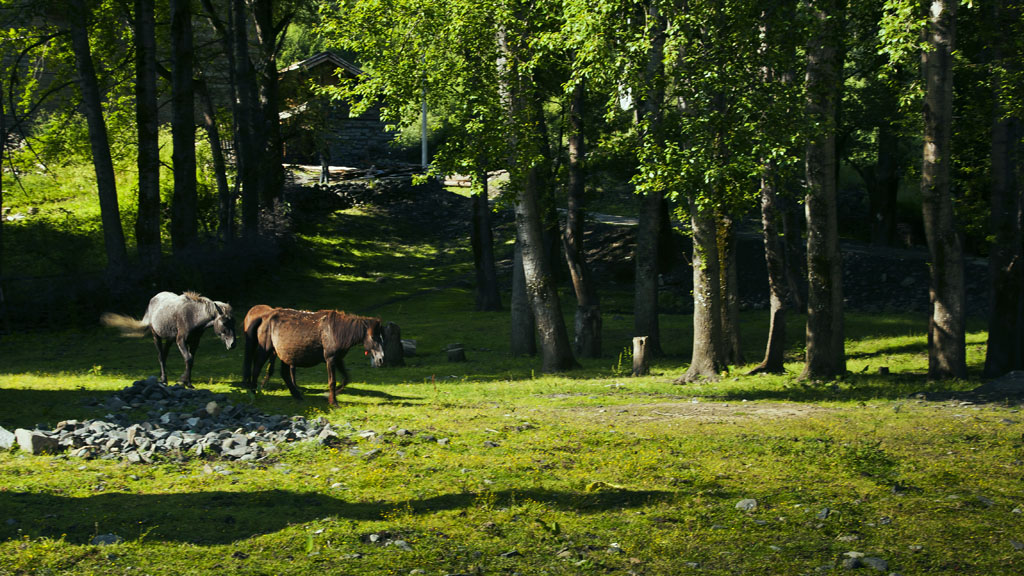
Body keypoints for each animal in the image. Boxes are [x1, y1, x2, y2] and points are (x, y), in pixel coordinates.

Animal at [250, 309, 385, 403]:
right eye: (373, 337)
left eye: (381, 337)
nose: (380, 359)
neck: (336, 331)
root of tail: (264, 317)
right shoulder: (330, 359)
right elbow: (332, 381)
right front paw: (333, 401)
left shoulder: (338, 359)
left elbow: (346, 378)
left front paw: (329, 395)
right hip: (266, 350)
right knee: (256, 368)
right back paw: (253, 392)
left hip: (285, 355)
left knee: (285, 374)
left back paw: (297, 395)